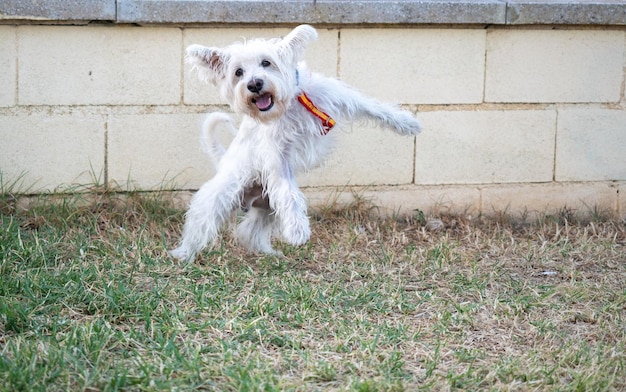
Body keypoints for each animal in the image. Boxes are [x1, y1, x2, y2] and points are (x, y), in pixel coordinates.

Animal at [168, 25, 422, 264]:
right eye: (238, 72)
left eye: (266, 62)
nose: (254, 84)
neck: (288, 105)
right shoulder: (277, 157)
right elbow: (290, 194)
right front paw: (298, 230)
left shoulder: (341, 98)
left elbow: (373, 107)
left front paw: (407, 123)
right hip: (220, 198)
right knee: (200, 226)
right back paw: (183, 254)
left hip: (267, 207)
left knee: (250, 230)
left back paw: (268, 252)